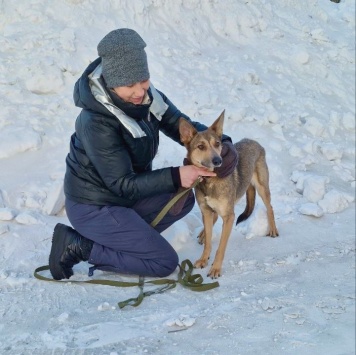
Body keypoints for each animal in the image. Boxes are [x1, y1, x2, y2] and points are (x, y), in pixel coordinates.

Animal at [178, 110, 278, 278]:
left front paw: (215, 268)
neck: (209, 180)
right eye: (200, 146)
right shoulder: (206, 211)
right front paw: (203, 259)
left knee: (270, 207)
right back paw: (203, 234)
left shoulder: (229, 217)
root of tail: (253, 141)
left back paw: (273, 229)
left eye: (217, 144)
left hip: (262, 188)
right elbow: (208, 243)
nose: (218, 160)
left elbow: (221, 248)